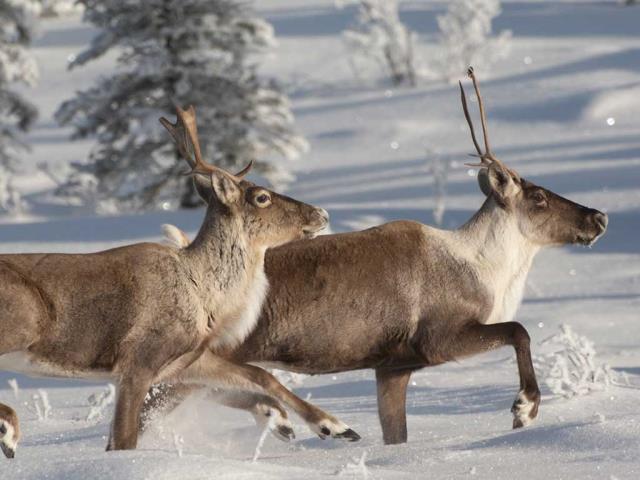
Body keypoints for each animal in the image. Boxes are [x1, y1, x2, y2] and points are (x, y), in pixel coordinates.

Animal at [0, 106, 363, 459]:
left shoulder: (184, 359)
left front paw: (336, 427)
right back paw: (9, 433)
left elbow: (260, 375)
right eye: (262, 197)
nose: (321, 213)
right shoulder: (139, 360)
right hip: (24, 320)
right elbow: (124, 441)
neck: (205, 294)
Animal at [144, 68, 608, 445]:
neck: (486, 269)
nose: (598, 216)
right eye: (538, 196)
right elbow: (519, 330)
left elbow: (396, 434)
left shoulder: (392, 366)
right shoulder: (439, 339)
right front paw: (524, 409)